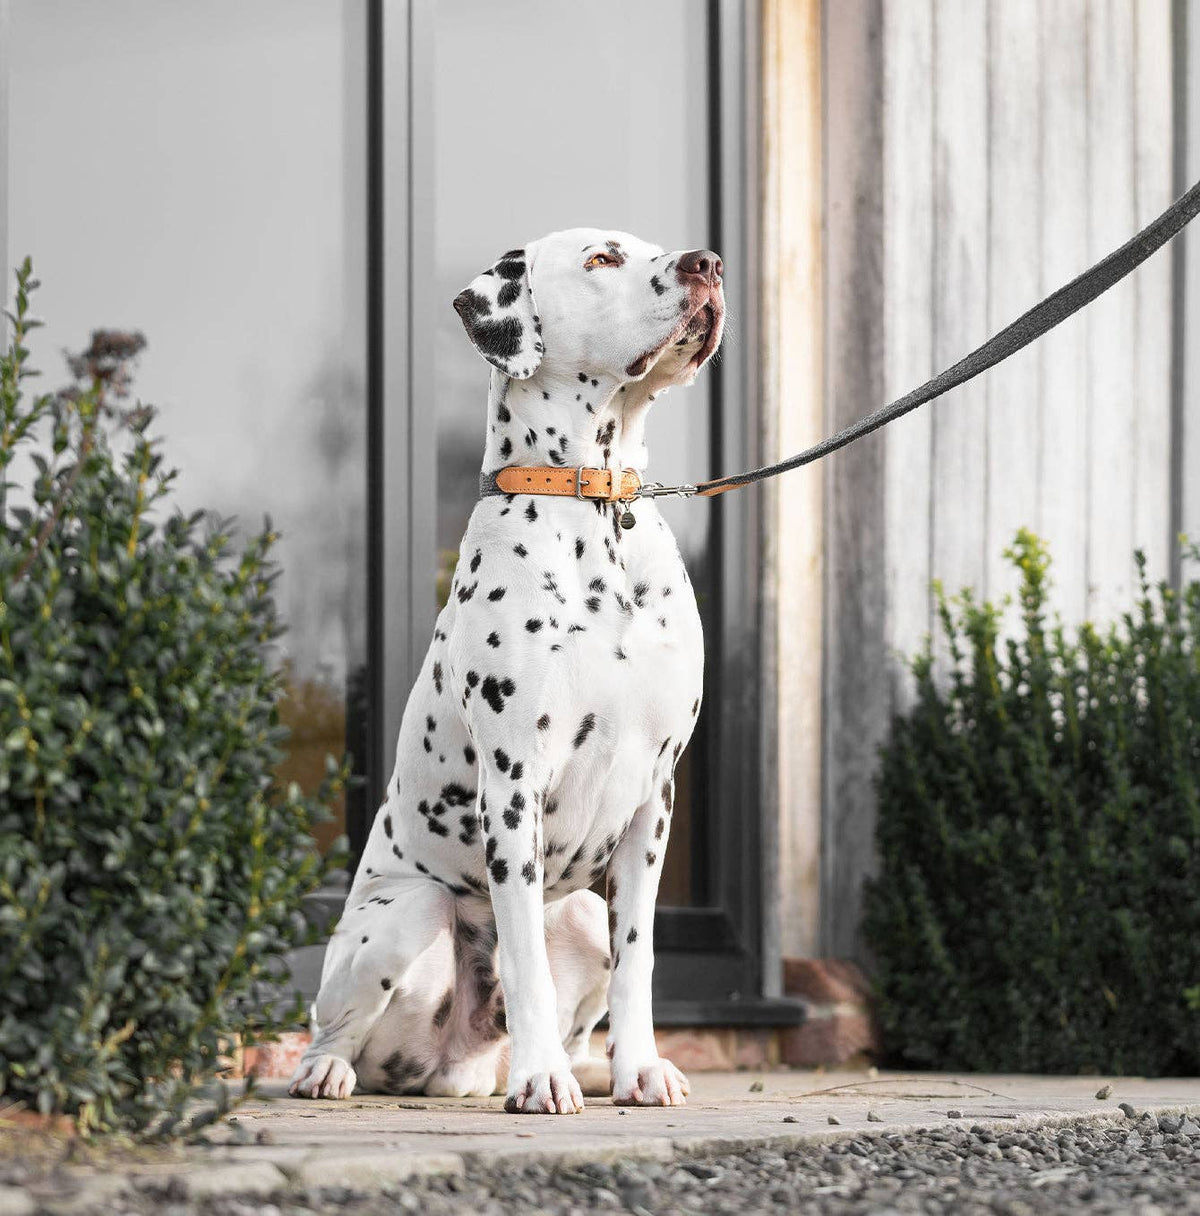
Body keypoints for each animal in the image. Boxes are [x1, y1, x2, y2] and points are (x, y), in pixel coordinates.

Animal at [285, 228, 729, 1113]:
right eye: (601, 260)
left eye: (658, 247)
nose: (708, 266)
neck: (597, 508)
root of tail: (451, 1068)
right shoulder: (514, 787)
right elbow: (522, 958)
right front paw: (542, 1080)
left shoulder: (653, 803)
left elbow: (639, 962)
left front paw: (638, 1069)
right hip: (407, 911)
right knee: (337, 1025)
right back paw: (333, 1069)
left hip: (582, 912)